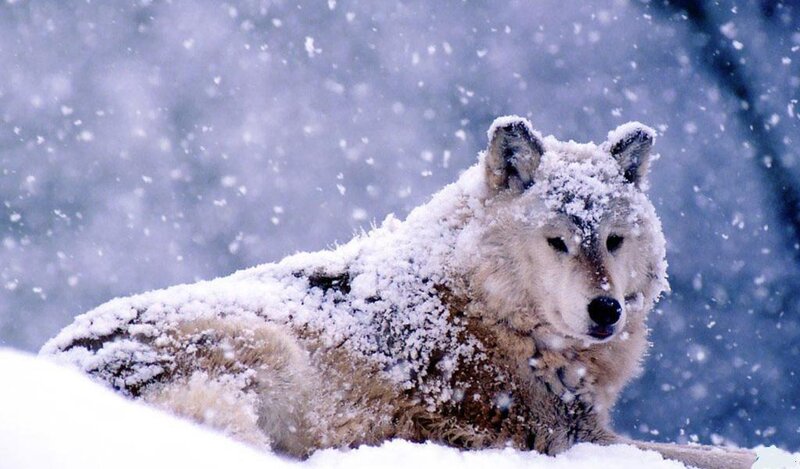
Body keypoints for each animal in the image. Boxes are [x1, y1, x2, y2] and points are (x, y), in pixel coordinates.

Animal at [42, 116, 755, 468]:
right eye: (557, 242)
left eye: (611, 240)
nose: (606, 309)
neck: (489, 308)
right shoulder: (564, 437)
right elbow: (723, 456)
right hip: (264, 347)